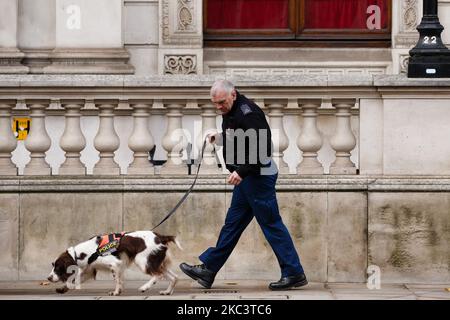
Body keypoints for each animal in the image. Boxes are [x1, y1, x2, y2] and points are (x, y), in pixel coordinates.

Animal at [47, 230, 181, 296]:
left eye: (58, 267)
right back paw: (167, 292)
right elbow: (74, 280)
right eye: (53, 266)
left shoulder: (115, 264)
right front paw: (62, 289)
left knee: (158, 275)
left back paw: (144, 287)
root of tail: (161, 237)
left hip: (142, 260)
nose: (48, 278)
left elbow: (117, 280)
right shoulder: (90, 270)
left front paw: (116, 292)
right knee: (174, 277)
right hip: (157, 262)